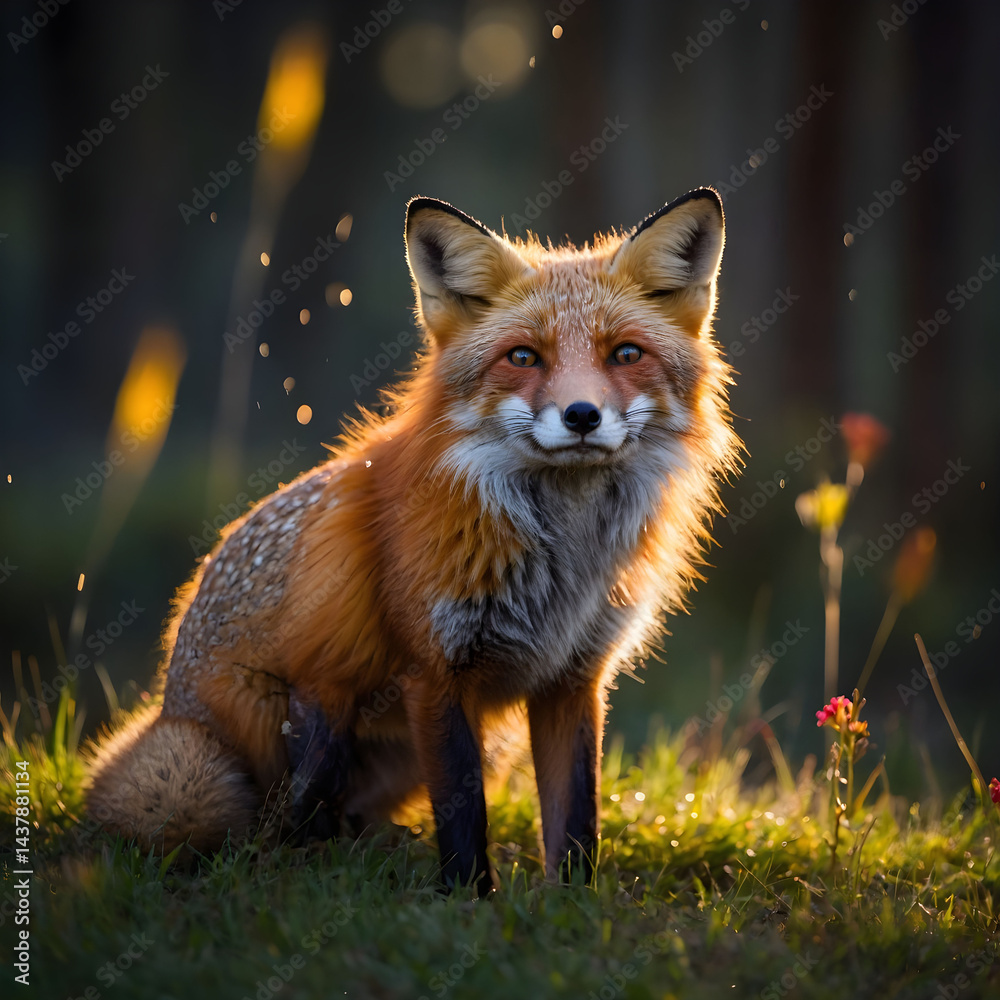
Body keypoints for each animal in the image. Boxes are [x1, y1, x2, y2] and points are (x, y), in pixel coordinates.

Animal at [86, 187, 740, 895]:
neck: (564, 559)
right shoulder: (434, 671)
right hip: (278, 732)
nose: (582, 416)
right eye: (523, 357)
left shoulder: (574, 679)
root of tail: (169, 699)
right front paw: (468, 901)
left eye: (625, 354)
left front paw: (574, 903)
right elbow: (461, 812)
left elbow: (576, 818)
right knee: (275, 829)